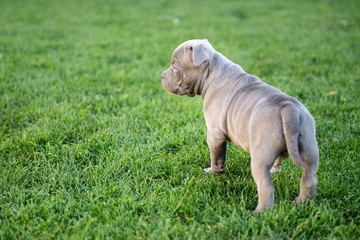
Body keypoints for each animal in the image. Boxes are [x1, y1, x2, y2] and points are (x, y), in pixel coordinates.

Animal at [162, 39, 320, 214]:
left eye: (175, 66)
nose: (161, 75)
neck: (212, 72)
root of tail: (288, 107)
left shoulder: (214, 134)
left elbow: (216, 157)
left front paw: (214, 173)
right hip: (310, 147)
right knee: (309, 178)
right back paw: (301, 203)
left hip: (260, 157)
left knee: (266, 187)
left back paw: (259, 212)